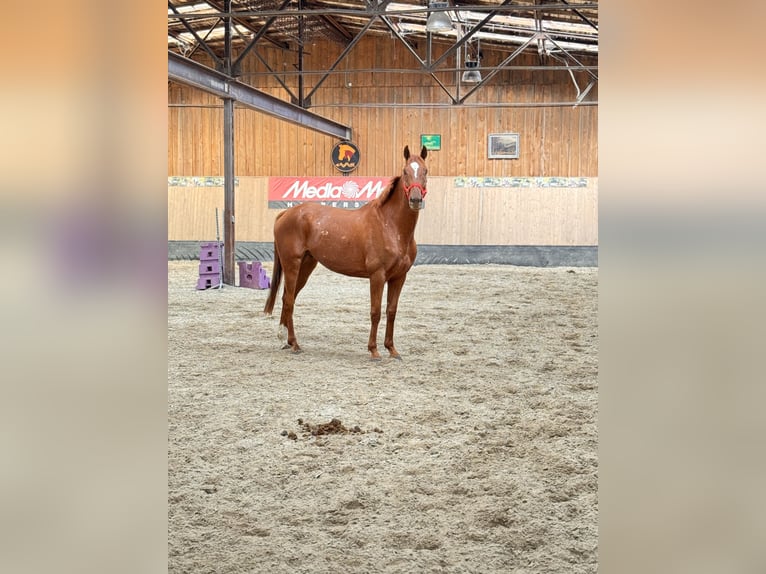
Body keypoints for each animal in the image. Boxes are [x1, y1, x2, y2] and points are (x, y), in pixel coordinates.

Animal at [264, 145, 428, 360]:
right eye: (405, 171)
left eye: (425, 171)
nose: (416, 200)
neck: (390, 226)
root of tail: (286, 213)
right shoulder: (377, 276)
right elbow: (375, 312)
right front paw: (374, 350)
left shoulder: (399, 277)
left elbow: (391, 311)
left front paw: (392, 350)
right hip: (292, 264)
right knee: (289, 299)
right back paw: (294, 343)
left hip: (306, 265)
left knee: (287, 298)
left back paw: (287, 341)